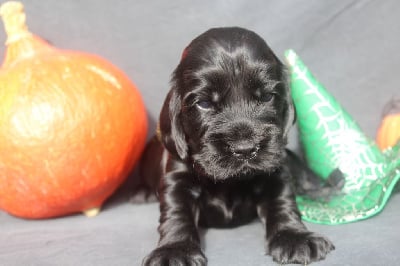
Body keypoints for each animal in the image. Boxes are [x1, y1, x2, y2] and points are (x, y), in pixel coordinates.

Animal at [139, 27, 340, 266]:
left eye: (267, 96)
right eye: (204, 103)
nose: (245, 149)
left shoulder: (276, 173)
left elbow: (283, 202)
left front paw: (294, 236)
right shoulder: (177, 177)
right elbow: (177, 212)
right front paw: (174, 250)